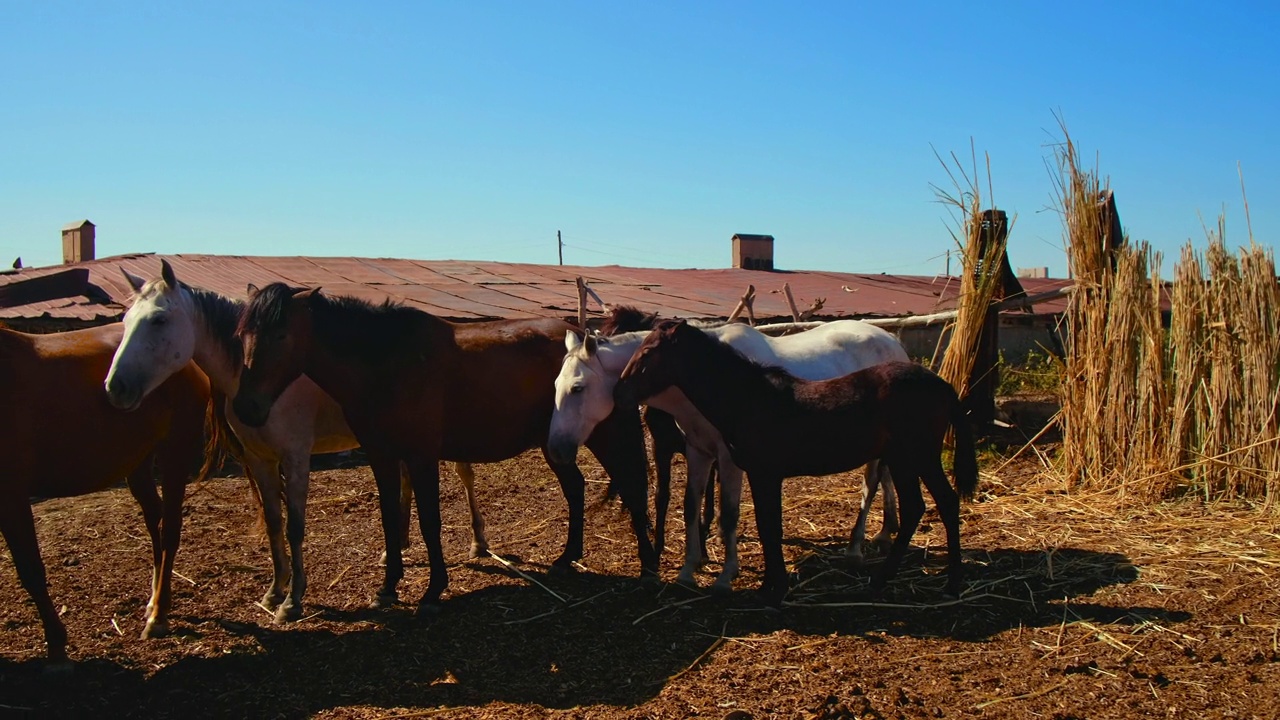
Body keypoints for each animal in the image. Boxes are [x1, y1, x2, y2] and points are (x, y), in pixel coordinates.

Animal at [0, 322, 217, 666]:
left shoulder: (11, 496)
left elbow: (31, 570)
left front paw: (57, 647)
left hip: (175, 452)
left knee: (170, 530)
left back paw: (159, 616)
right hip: (139, 461)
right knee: (156, 523)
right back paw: (153, 602)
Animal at [230, 283, 655, 614]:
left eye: (281, 335)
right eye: (241, 336)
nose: (246, 408)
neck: (385, 363)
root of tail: (592, 342)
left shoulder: (421, 457)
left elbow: (429, 522)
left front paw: (433, 591)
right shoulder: (382, 457)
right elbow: (390, 520)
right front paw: (388, 587)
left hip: (603, 436)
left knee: (632, 485)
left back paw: (646, 567)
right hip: (556, 443)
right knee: (577, 488)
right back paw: (567, 558)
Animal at [550, 317, 911, 589]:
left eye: (578, 388)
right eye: (555, 385)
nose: (556, 449)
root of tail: (893, 343)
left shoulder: (728, 458)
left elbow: (729, 512)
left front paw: (725, 575)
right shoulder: (698, 451)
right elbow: (691, 505)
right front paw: (688, 570)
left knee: (870, 485)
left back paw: (855, 548)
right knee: (885, 480)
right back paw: (884, 531)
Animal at [614, 316, 972, 602]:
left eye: (647, 353)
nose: (619, 393)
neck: (750, 398)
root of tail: (942, 385)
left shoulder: (757, 471)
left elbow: (759, 523)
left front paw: (764, 587)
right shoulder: (723, 460)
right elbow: (757, 522)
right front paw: (763, 584)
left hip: (915, 457)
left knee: (926, 502)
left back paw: (911, 577)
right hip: (907, 460)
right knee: (925, 503)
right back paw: (907, 576)